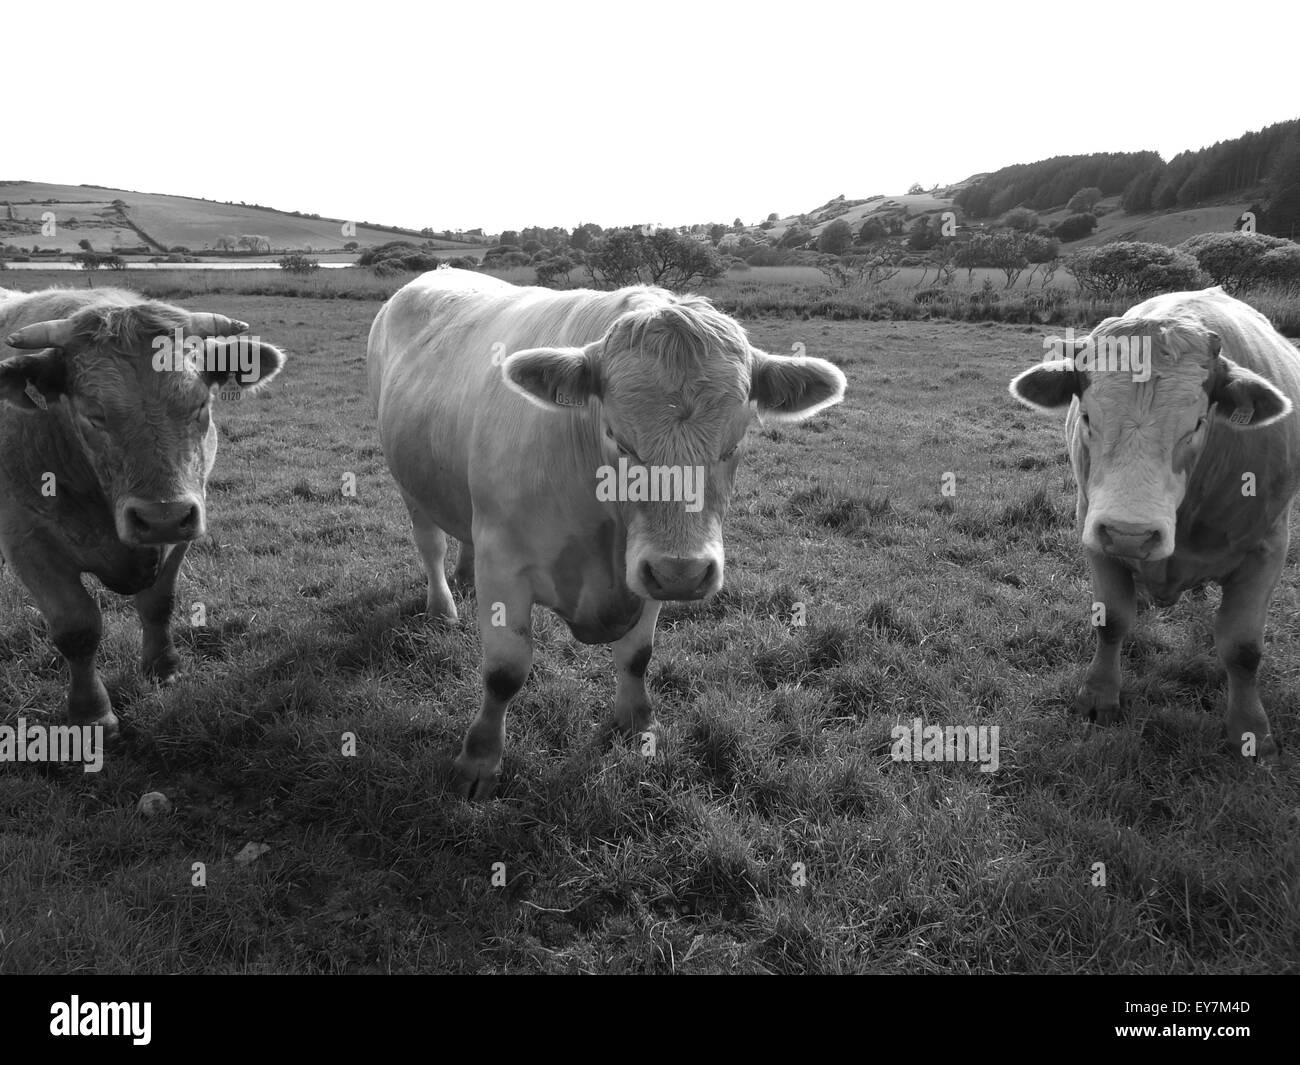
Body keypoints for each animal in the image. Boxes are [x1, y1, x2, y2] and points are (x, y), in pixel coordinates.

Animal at [0, 287, 286, 740]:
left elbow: (159, 603)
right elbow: (77, 628)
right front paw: (91, 714)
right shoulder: (27, 541)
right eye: (93, 414)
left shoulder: (184, 522)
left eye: (200, 403)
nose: (160, 516)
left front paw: (163, 668)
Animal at [368, 269, 846, 798]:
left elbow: (637, 656)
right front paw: (480, 759)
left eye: (736, 442)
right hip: (408, 484)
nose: (684, 574)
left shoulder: (647, 566)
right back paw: (443, 606)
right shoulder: (505, 563)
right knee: (430, 544)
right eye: (619, 438)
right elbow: (504, 672)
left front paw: (638, 722)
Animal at [1009, 287, 1300, 763]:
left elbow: (1243, 649)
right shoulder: (1093, 531)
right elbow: (1111, 621)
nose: (1131, 533)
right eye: (1086, 417)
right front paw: (1100, 697)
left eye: (1198, 423)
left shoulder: (1269, 548)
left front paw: (1250, 729)